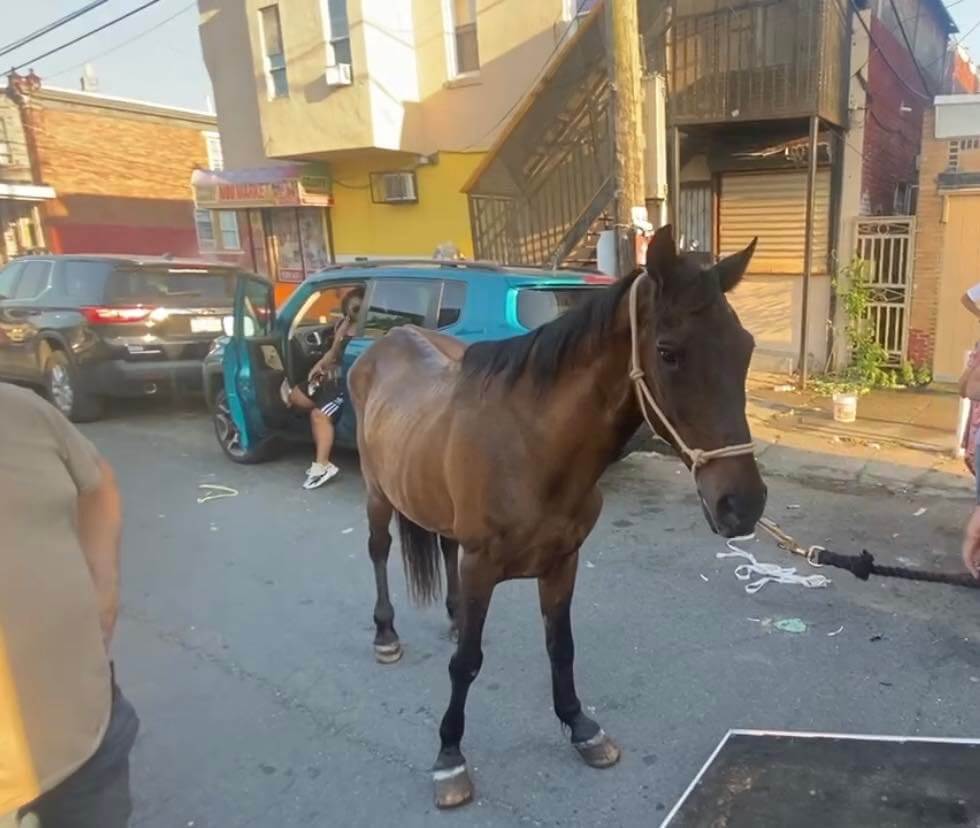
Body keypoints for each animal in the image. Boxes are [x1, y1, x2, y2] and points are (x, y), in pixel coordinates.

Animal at [347, 225, 767, 809]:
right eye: (668, 353)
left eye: (745, 349)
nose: (743, 505)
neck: (532, 447)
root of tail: (389, 340)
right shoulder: (482, 566)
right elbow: (467, 664)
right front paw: (450, 757)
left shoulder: (562, 562)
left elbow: (560, 647)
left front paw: (580, 727)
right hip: (377, 493)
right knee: (379, 550)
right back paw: (385, 635)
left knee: (443, 547)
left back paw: (452, 618)